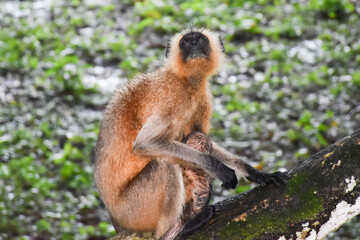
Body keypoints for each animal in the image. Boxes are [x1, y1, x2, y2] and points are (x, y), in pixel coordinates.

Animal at [93, 27, 290, 239]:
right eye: (186, 42)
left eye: (200, 40)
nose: (194, 44)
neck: (187, 81)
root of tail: (117, 223)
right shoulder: (175, 95)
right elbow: (145, 144)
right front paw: (217, 167)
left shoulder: (202, 97)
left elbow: (200, 135)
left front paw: (256, 173)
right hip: (134, 211)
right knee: (165, 164)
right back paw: (174, 231)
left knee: (198, 139)